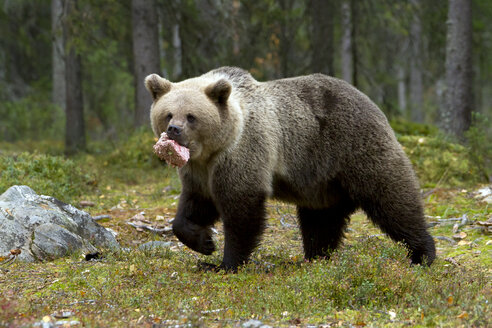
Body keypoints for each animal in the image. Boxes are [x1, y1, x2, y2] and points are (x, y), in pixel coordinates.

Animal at [144, 66, 436, 272]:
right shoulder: (200, 173)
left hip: (354, 148)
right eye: (168, 114)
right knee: (321, 220)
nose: (174, 129)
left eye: (191, 116)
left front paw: (224, 263)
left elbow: (242, 211)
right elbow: (193, 207)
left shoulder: (244, 153)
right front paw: (203, 242)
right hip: (322, 181)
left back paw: (422, 253)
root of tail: (370, 102)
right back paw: (316, 257)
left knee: (392, 199)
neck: (212, 151)